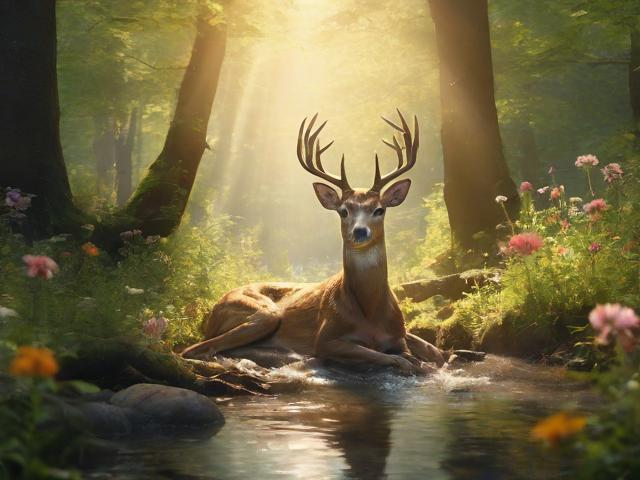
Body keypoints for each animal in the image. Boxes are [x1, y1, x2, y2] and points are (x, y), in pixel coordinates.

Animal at [181, 111, 446, 375]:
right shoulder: (326, 337)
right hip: (263, 312)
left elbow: (424, 353)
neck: (370, 311)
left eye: (379, 210)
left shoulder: (399, 336)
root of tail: (214, 308)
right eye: (343, 211)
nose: (360, 232)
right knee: (194, 348)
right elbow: (392, 358)